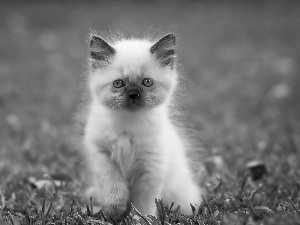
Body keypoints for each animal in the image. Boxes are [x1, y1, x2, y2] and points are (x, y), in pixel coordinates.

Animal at [82, 32, 204, 219]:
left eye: (147, 82)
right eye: (118, 83)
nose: (133, 94)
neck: (128, 123)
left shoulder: (152, 167)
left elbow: (143, 203)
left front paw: (140, 219)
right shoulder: (102, 154)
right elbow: (113, 185)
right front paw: (115, 210)